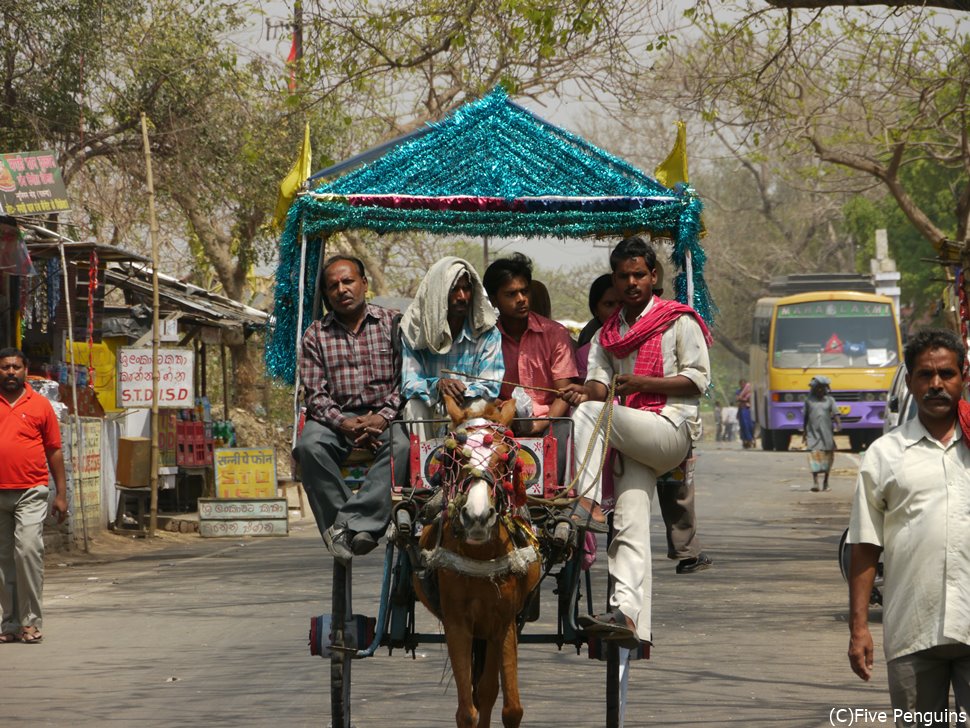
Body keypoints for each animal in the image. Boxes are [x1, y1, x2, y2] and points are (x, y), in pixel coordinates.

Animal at [410, 398, 540, 728]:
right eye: (453, 457)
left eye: (506, 459)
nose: (477, 517)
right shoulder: (457, 623)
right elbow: (466, 711)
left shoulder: (503, 623)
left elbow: (508, 706)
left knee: (487, 690)